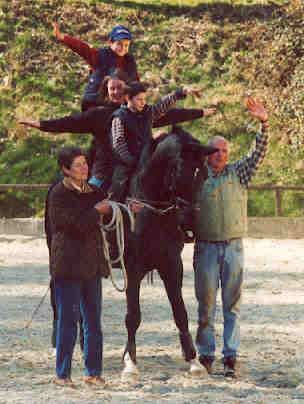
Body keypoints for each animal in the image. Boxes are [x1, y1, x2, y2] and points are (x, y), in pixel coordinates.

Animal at [121, 124, 216, 378]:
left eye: (203, 174)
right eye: (180, 171)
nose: (191, 223)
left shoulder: (172, 265)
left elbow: (180, 313)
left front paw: (193, 360)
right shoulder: (132, 269)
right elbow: (133, 316)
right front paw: (130, 363)